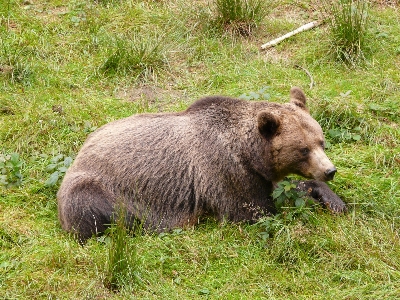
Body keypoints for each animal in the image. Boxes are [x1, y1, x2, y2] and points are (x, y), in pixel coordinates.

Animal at [57, 86, 346, 241]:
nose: (329, 171)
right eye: (303, 149)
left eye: (321, 141)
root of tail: (80, 151)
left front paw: (334, 200)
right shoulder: (226, 172)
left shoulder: (258, 175)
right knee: (101, 212)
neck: (249, 154)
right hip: (99, 187)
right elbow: (254, 211)